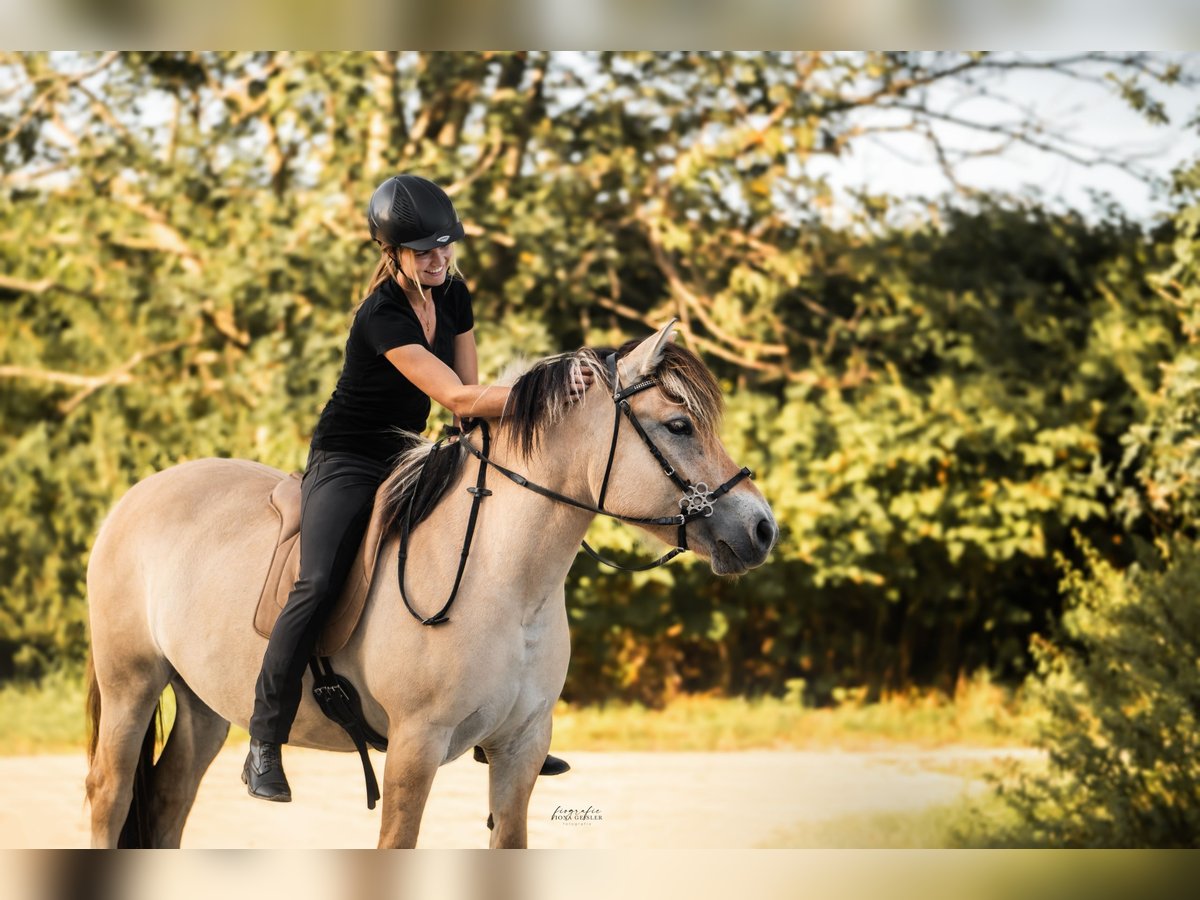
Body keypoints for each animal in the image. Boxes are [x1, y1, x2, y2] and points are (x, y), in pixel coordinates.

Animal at [84, 321, 777, 844]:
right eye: (678, 426)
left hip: (202, 704)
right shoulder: (414, 750)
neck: (505, 581)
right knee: (109, 795)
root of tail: (135, 498)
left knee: (169, 799)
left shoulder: (521, 750)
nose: (762, 528)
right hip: (132, 685)